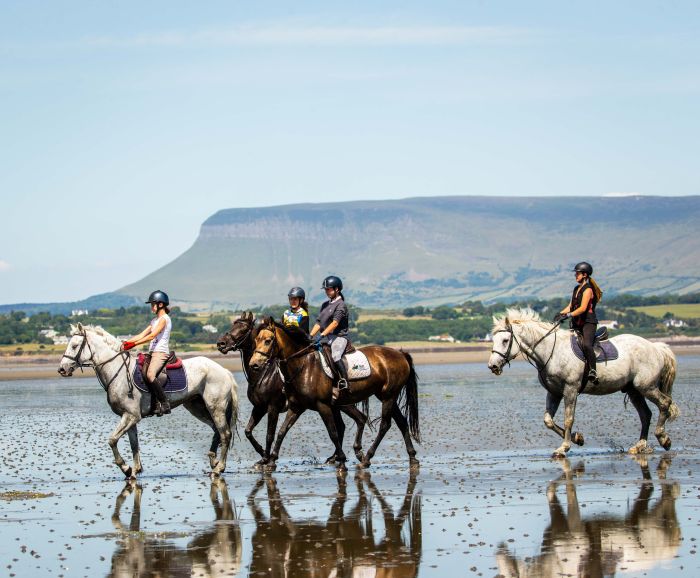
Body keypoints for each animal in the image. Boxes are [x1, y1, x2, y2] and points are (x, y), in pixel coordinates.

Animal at [57, 322, 238, 474]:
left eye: (74, 346)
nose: (61, 369)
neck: (118, 371)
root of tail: (225, 371)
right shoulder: (129, 417)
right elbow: (134, 444)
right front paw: (135, 470)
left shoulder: (131, 416)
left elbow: (112, 440)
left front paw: (125, 468)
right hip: (197, 407)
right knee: (216, 430)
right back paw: (213, 461)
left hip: (216, 407)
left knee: (225, 433)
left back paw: (219, 467)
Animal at [217, 310, 372, 464]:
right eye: (233, 325)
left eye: (243, 329)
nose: (221, 343)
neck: (263, 373)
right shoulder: (259, 407)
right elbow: (248, 431)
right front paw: (262, 454)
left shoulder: (272, 407)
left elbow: (270, 434)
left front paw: (266, 457)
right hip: (335, 406)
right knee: (342, 426)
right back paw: (335, 457)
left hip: (343, 404)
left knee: (356, 420)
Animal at [249, 316, 418, 468]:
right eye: (256, 340)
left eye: (268, 340)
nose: (254, 364)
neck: (303, 366)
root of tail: (400, 354)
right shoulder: (296, 407)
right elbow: (282, 431)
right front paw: (271, 460)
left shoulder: (322, 405)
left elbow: (333, 433)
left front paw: (341, 459)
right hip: (385, 396)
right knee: (401, 422)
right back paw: (412, 457)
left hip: (388, 396)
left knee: (384, 425)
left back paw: (367, 458)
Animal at [486, 308, 680, 456]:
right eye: (494, 340)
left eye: (505, 340)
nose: (492, 366)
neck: (551, 351)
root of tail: (655, 347)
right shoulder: (554, 392)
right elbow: (548, 420)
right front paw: (578, 438)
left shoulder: (570, 390)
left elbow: (568, 419)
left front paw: (564, 448)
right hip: (634, 390)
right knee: (645, 414)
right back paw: (639, 446)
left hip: (646, 386)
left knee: (664, 403)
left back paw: (664, 439)